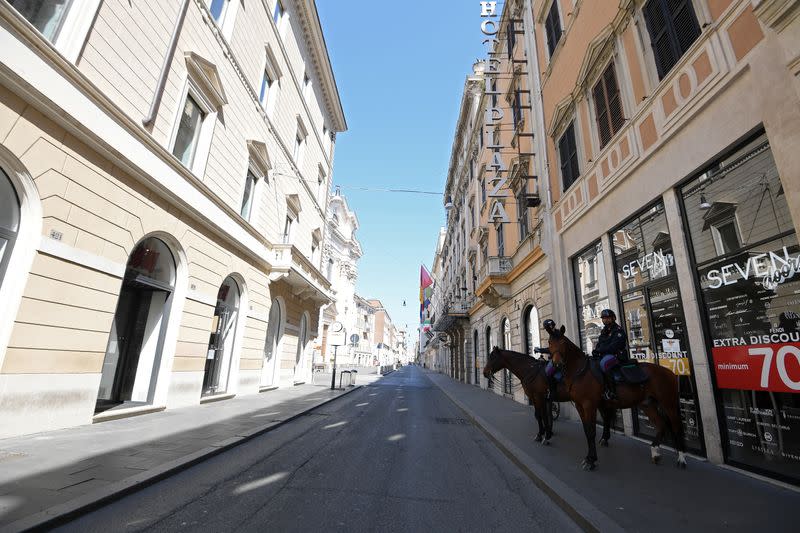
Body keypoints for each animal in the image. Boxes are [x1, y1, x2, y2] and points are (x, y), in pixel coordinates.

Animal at [482, 344, 620, 444]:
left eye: (492, 357)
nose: (484, 372)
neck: (530, 370)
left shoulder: (538, 396)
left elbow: (540, 415)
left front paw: (542, 435)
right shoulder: (538, 398)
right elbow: (541, 415)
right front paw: (545, 433)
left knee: (606, 416)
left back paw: (604, 438)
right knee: (606, 416)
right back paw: (605, 438)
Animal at [544, 320, 688, 470]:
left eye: (563, 342)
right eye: (549, 342)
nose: (557, 364)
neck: (580, 371)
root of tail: (669, 372)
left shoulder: (589, 405)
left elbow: (591, 431)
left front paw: (591, 460)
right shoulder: (579, 405)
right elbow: (587, 431)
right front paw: (589, 457)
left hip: (668, 403)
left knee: (676, 426)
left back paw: (681, 458)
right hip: (647, 404)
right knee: (661, 425)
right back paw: (655, 452)